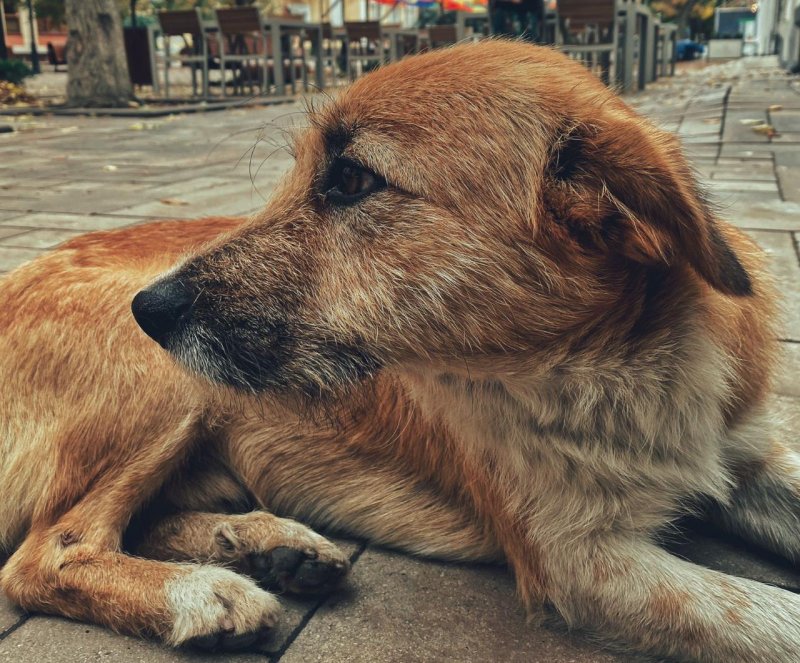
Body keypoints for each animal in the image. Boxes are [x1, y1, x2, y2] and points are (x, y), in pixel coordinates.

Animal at [1, 40, 800, 660]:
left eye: (353, 179)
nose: (150, 310)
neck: (629, 366)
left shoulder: (750, 453)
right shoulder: (578, 560)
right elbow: (772, 615)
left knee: (137, 521)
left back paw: (266, 545)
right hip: (169, 392)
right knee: (46, 553)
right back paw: (205, 592)